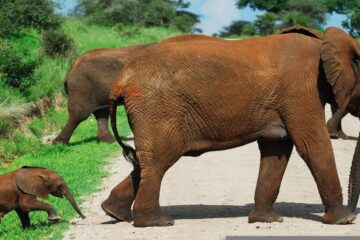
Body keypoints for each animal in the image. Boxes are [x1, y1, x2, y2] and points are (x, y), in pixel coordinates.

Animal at [102, 27, 360, 228]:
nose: (353, 212)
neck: (324, 40)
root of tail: (121, 79)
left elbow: (275, 150)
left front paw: (266, 220)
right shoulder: (302, 88)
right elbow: (312, 145)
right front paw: (343, 221)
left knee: (147, 161)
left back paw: (114, 212)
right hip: (158, 107)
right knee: (160, 158)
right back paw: (157, 222)